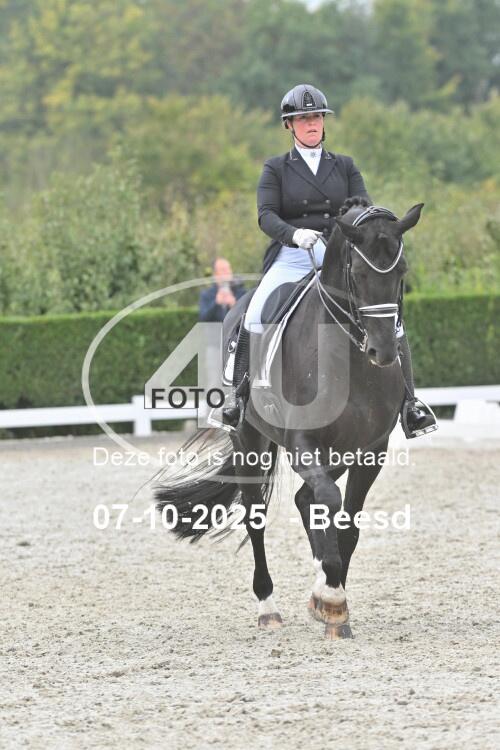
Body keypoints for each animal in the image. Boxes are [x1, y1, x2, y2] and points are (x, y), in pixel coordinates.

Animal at [154, 200, 423, 639]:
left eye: (401, 271)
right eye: (358, 272)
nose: (383, 352)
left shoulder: (371, 451)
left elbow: (347, 523)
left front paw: (331, 601)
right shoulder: (302, 444)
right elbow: (328, 502)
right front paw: (332, 599)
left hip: (337, 452)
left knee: (304, 499)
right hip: (249, 441)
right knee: (257, 516)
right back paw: (269, 607)